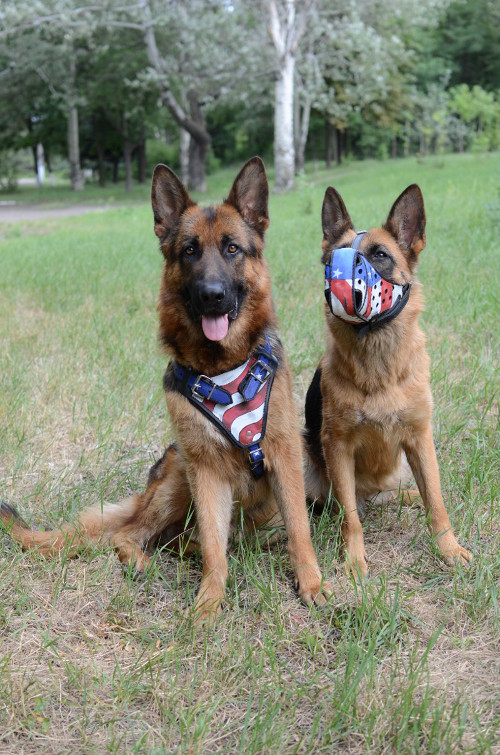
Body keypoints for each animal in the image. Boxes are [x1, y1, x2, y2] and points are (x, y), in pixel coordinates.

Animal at [3, 157, 334, 624]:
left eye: (232, 249)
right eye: (189, 250)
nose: (212, 296)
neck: (223, 369)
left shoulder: (284, 456)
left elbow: (299, 531)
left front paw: (311, 584)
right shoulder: (206, 472)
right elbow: (215, 548)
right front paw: (209, 600)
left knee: (182, 539)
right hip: (180, 477)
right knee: (134, 534)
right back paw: (142, 559)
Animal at [300, 183, 472, 580]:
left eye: (379, 255)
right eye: (331, 258)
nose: (340, 282)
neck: (378, 369)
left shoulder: (420, 438)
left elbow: (437, 502)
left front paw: (448, 550)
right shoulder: (337, 446)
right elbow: (351, 519)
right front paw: (354, 559)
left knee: (400, 494)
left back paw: (407, 497)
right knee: (340, 505)